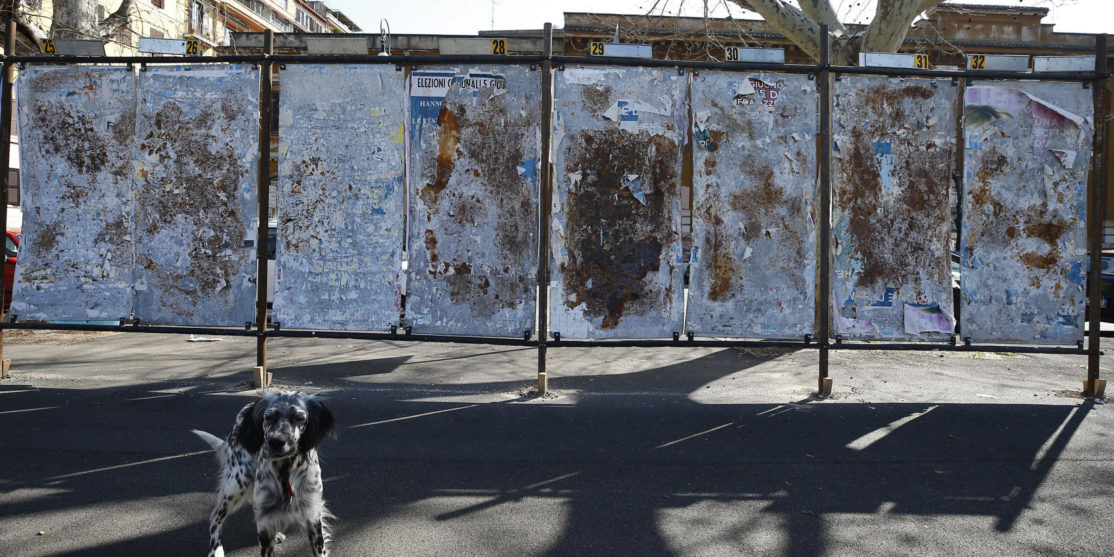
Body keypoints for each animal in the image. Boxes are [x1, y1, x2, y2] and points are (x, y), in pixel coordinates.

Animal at [192, 392, 334, 557]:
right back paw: (216, 550)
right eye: (269, 417)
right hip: (237, 483)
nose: (276, 441)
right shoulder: (264, 521)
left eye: (299, 418)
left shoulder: (313, 515)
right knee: (215, 516)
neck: (286, 469)